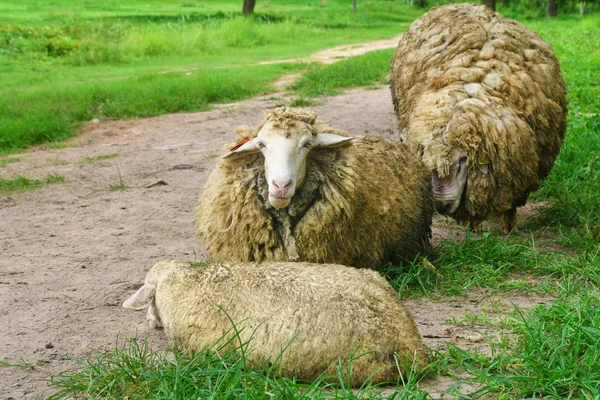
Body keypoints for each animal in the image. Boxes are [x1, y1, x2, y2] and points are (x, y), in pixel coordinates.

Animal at [390, 3, 568, 233]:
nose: (441, 205)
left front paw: (509, 229)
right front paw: (472, 227)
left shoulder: (515, 170)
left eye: (461, 163)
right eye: (427, 167)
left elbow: (509, 205)